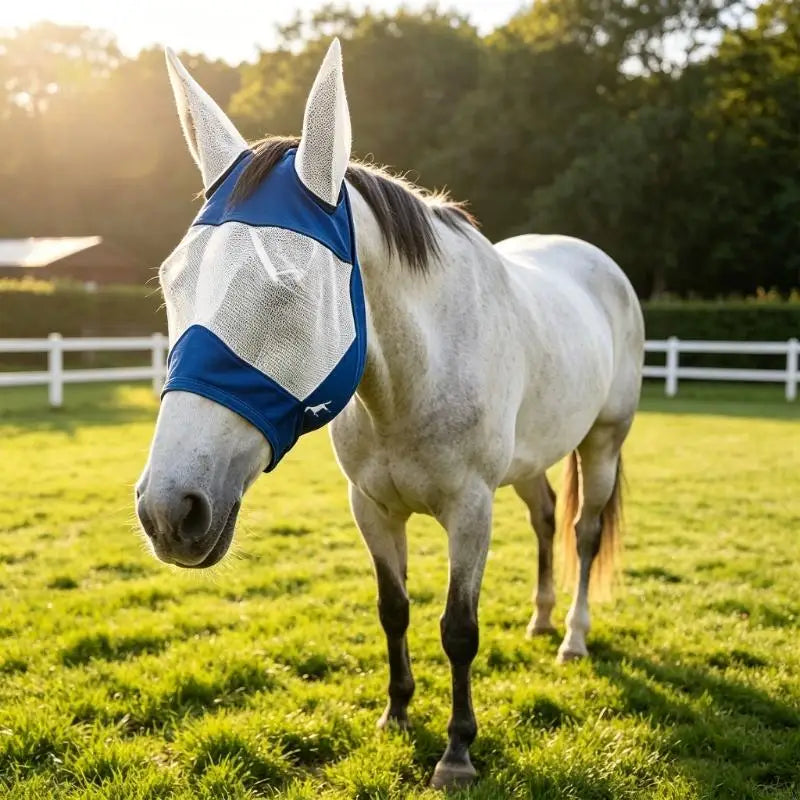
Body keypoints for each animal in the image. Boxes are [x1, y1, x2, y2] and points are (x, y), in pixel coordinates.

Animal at [135, 40, 644, 789]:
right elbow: (394, 609)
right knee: (548, 518)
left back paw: (574, 638)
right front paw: (397, 713)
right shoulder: (371, 507)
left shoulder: (470, 510)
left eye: (289, 291)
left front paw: (457, 752)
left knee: (583, 533)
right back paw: (541, 619)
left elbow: (458, 628)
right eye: (171, 280)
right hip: (530, 460)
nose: (170, 511)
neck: (409, 380)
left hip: (603, 442)